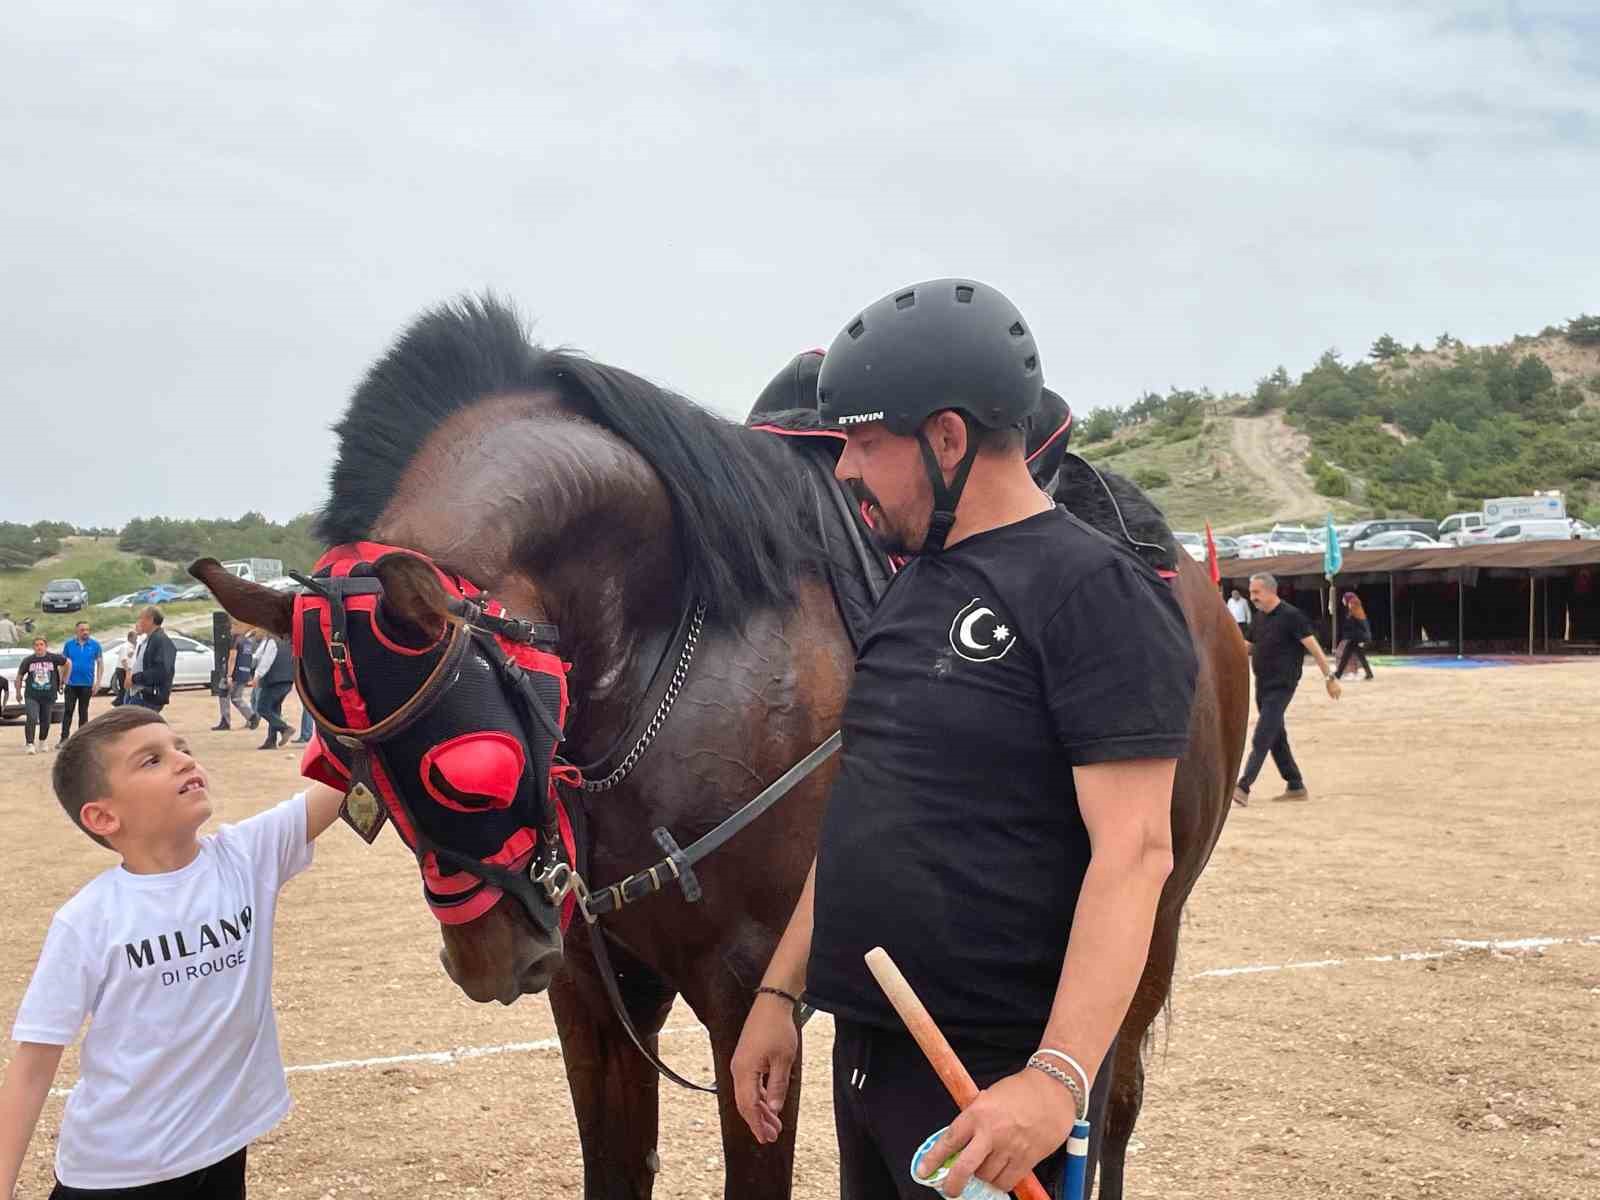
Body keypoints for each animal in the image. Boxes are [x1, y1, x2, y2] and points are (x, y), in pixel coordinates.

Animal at [193, 294, 1248, 1200]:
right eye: (344, 769)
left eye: (471, 766)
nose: (489, 963)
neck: (674, 649)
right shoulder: (592, 994)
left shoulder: (747, 999)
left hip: (1147, 925)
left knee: (1108, 1102)